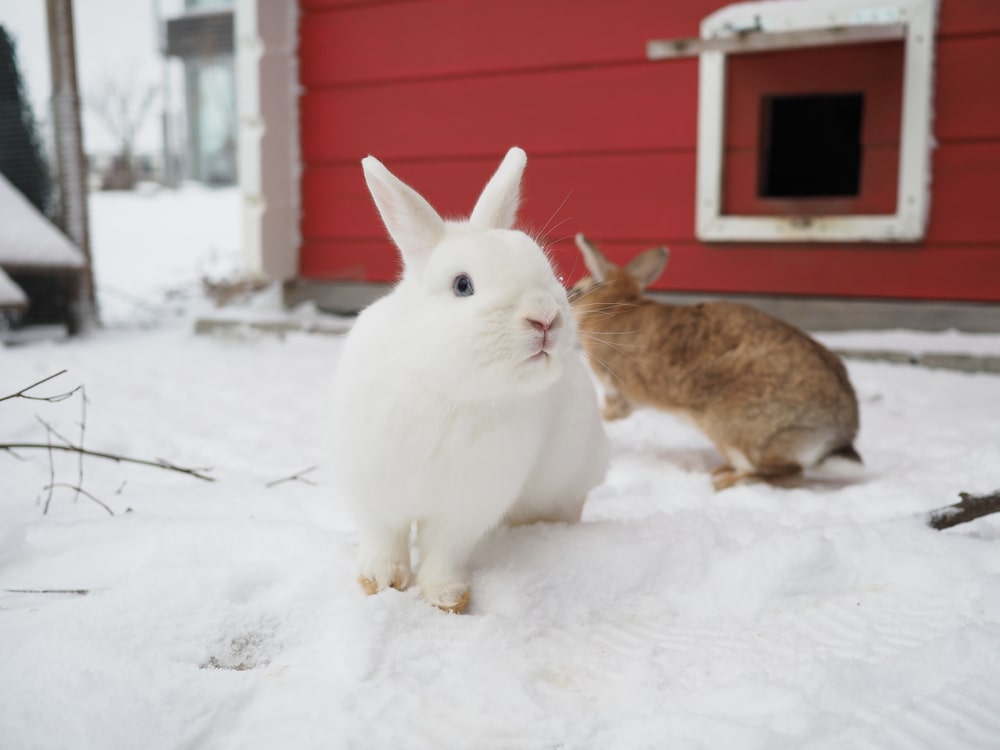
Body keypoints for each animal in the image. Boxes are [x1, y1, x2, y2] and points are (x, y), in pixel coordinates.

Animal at [329, 149, 610, 613]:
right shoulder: (376, 494)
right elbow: (385, 540)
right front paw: (380, 583)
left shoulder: (464, 510)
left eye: (545, 268)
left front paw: (447, 598)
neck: (449, 390)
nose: (546, 317)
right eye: (463, 285)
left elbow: (443, 553)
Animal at [569, 233, 862, 492]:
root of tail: (836, 436)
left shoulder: (616, 391)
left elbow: (612, 412)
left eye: (578, 291)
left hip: (735, 431)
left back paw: (724, 482)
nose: (569, 299)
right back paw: (721, 471)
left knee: (787, 474)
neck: (616, 305)